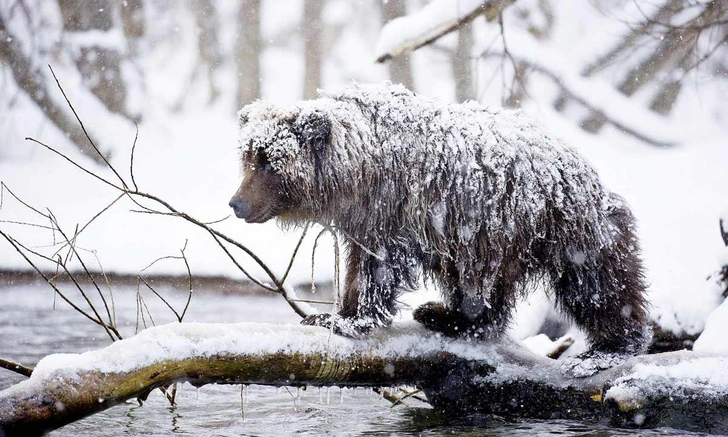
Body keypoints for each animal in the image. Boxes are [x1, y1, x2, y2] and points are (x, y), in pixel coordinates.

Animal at [230, 82, 652, 362]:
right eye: (249, 157)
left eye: (269, 161)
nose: (237, 203)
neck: (357, 170)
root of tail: (581, 163)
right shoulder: (365, 218)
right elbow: (360, 263)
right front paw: (334, 313)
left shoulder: (392, 209)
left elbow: (376, 267)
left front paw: (344, 318)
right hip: (487, 237)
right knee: (482, 286)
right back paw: (445, 315)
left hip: (546, 225)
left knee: (596, 282)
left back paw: (614, 344)